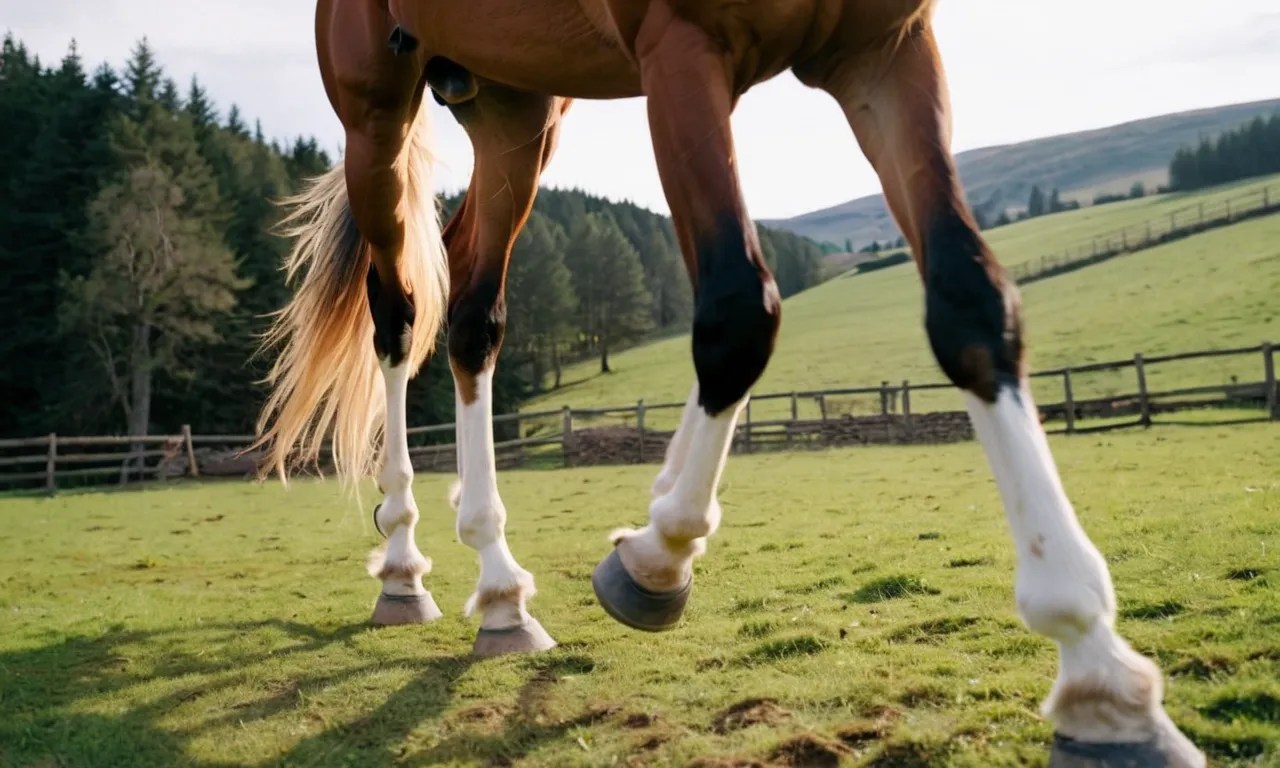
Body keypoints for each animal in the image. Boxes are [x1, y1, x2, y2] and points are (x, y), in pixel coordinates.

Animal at [250, 1, 1204, 764]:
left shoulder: (887, 45)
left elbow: (970, 303)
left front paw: (1100, 676)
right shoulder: (682, 49)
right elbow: (741, 310)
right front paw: (657, 557)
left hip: (513, 104)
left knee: (473, 308)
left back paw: (499, 590)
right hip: (378, 111)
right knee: (398, 311)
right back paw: (403, 566)